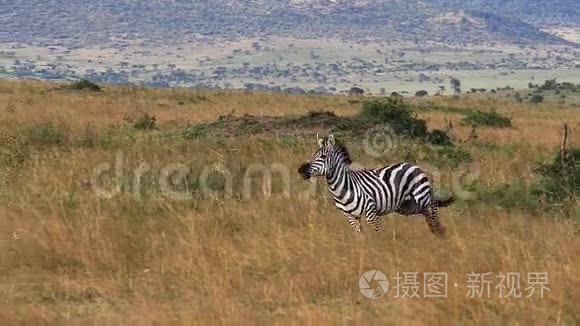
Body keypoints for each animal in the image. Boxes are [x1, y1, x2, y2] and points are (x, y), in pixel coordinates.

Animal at [296, 134, 456, 238]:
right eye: (313, 155)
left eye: (323, 157)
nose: (301, 170)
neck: (342, 188)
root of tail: (413, 165)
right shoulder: (350, 216)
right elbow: (360, 237)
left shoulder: (371, 211)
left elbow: (377, 234)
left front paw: (378, 252)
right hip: (408, 206)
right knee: (428, 214)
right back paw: (437, 232)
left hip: (421, 196)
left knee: (433, 207)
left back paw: (440, 234)